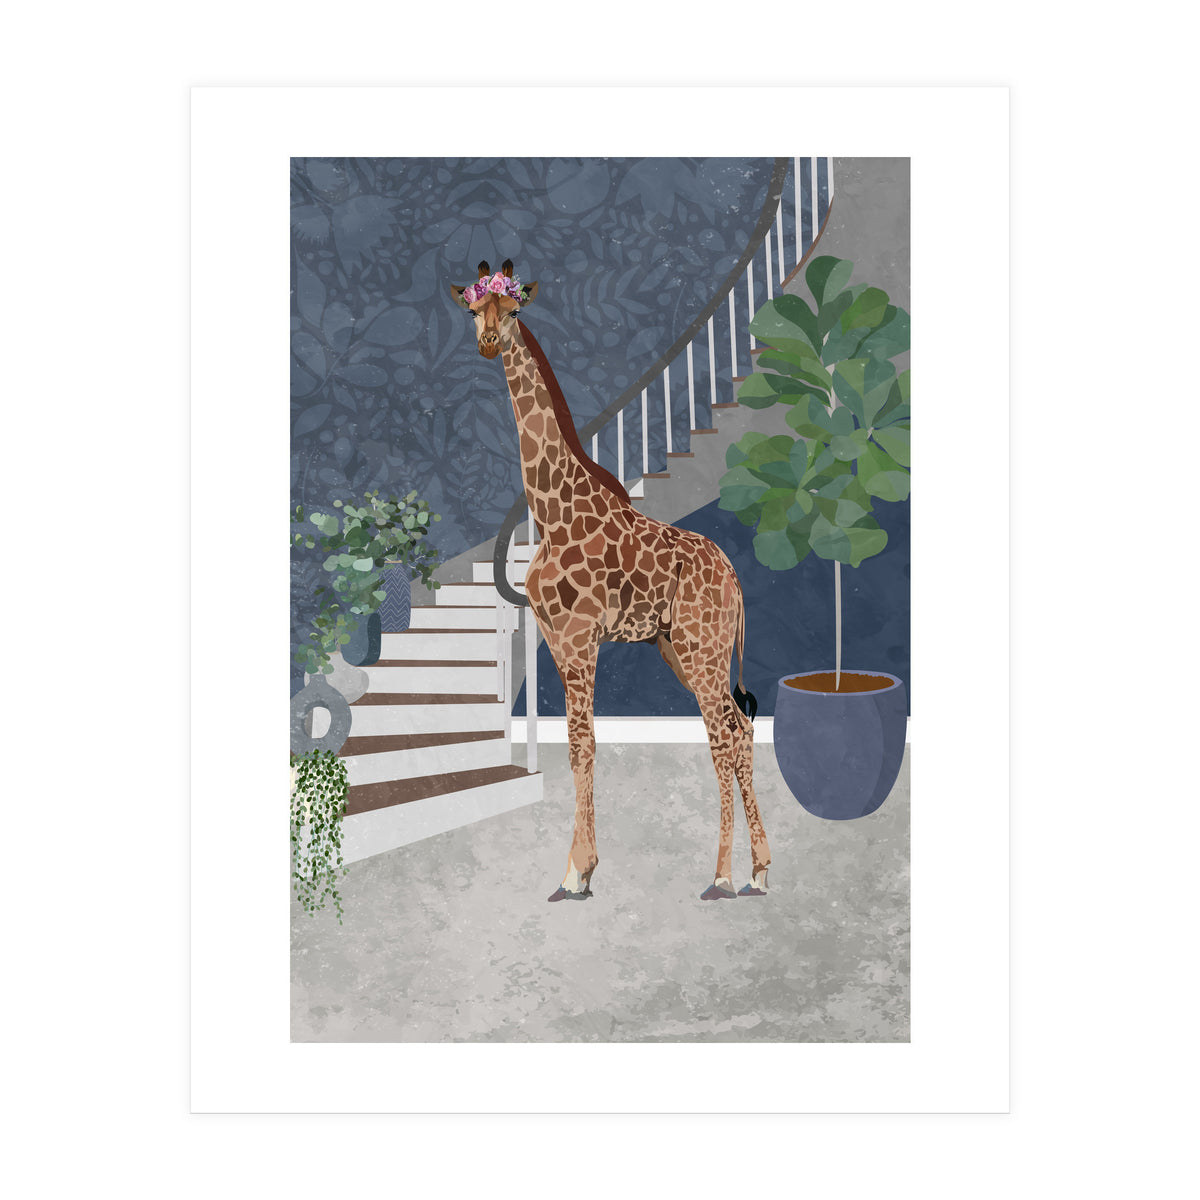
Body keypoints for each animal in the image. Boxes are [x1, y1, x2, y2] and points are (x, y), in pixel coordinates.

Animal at [452, 260, 771, 902]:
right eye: (474, 309)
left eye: (515, 309)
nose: (490, 342)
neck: (551, 511)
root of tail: (735, 578)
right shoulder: (555, 639)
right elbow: (579, 747)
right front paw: (581, 868)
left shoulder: (580, 639)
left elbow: (584, 742)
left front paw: (576, 872)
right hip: (683, 649)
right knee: (740, 728)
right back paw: (759, 871)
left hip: (702, 649)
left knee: (723, 736)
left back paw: (722, 875)